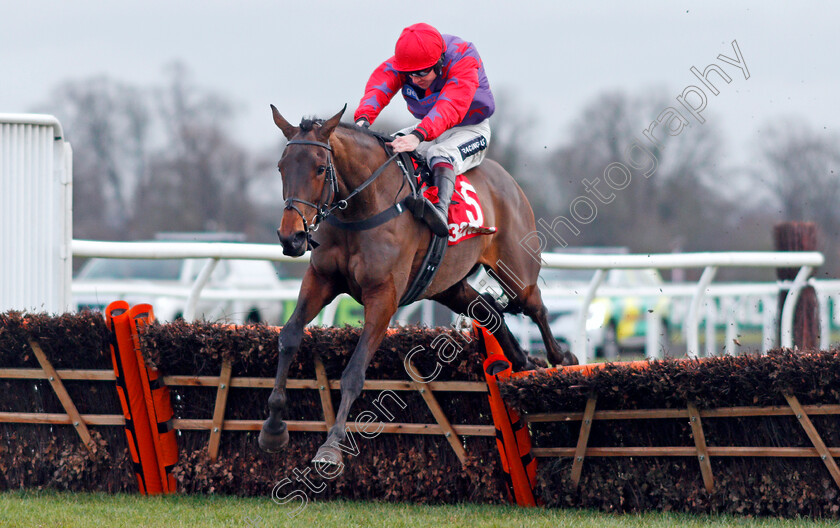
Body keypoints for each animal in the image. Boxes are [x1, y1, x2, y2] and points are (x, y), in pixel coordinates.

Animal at [262, 105, 576, 464]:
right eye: (281, 167)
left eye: (318, 169)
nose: (291, 237)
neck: (363, 207)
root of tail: (508, 181)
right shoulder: (321, 279)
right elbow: (289, 337)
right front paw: (273, 426)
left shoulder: (383, 295)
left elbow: (354, 371)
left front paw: (332, 445)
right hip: (449, 286)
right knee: (490, 312)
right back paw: (522, 363)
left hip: (517, 271)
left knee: (536, 308)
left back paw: (562, 361)